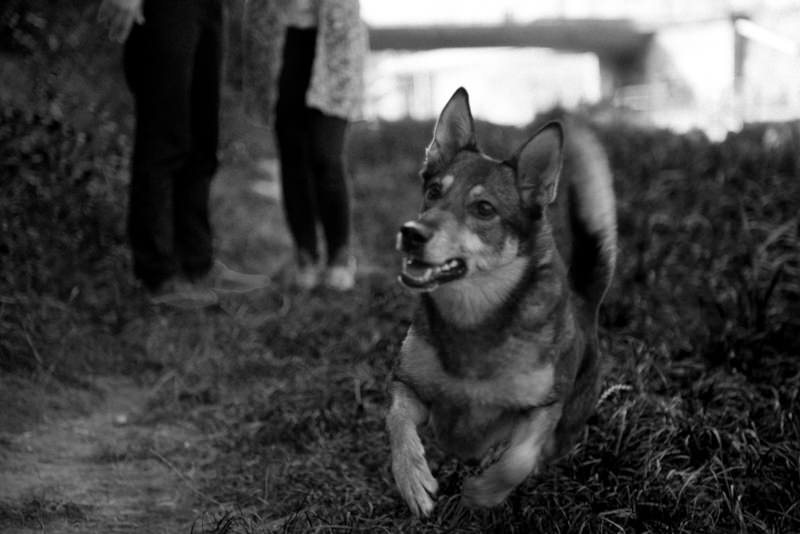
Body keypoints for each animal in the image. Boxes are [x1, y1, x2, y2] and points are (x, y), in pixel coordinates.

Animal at [384, 89, 616, 520]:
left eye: (484, 209)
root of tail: (583, 301)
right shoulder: (408, 385)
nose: (410, 234)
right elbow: (397, 424)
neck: (473, 315)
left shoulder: (544, 407)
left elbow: (519, 460)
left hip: (568, 425)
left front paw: (484, 492)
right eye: (434, 191)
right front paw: (412, 481)